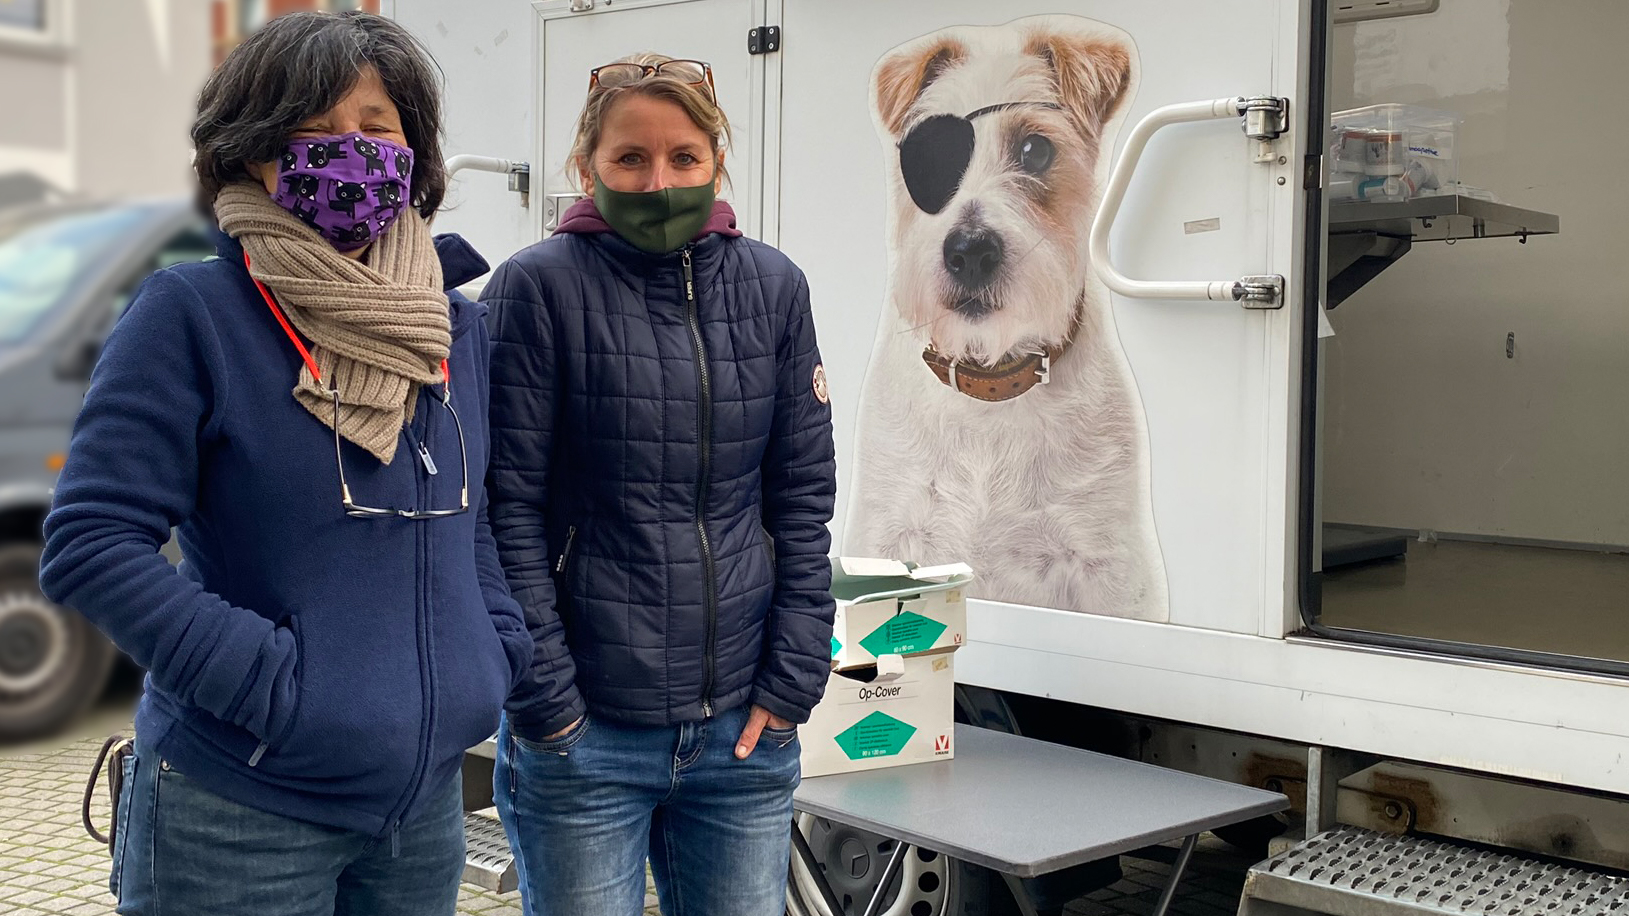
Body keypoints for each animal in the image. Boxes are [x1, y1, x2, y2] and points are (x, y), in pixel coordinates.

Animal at [840, 17, 1172, 619]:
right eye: (926, 158)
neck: (989, 378)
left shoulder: (1106, 573)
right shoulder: (889, 535)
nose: (969, 251)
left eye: (1035, 150)